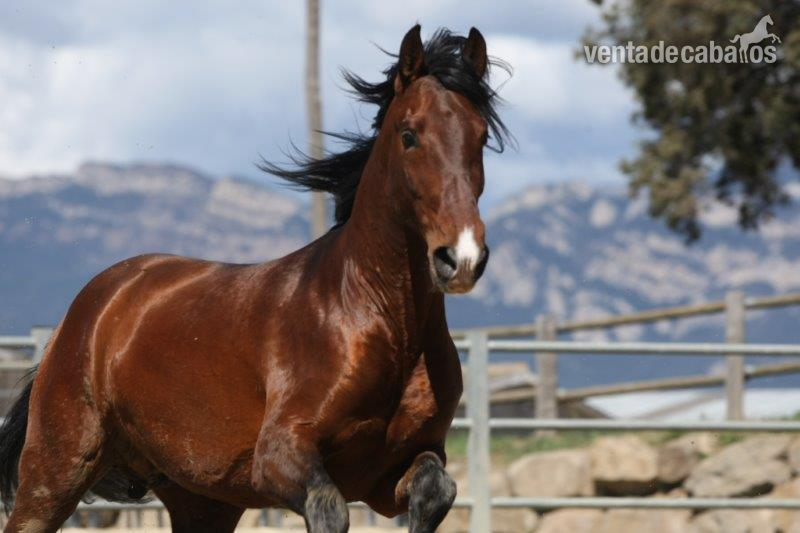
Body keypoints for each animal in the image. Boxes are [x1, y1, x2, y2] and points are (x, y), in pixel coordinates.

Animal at [0, 24, 509, 533]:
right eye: (409, 135)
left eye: (481, 137)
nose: (461, 256)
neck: (378, 320)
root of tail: (91, 308)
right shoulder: (279, 457)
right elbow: (329, 507)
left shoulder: (393, 472)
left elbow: (436, 490)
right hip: (55, 473)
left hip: (202, 500)